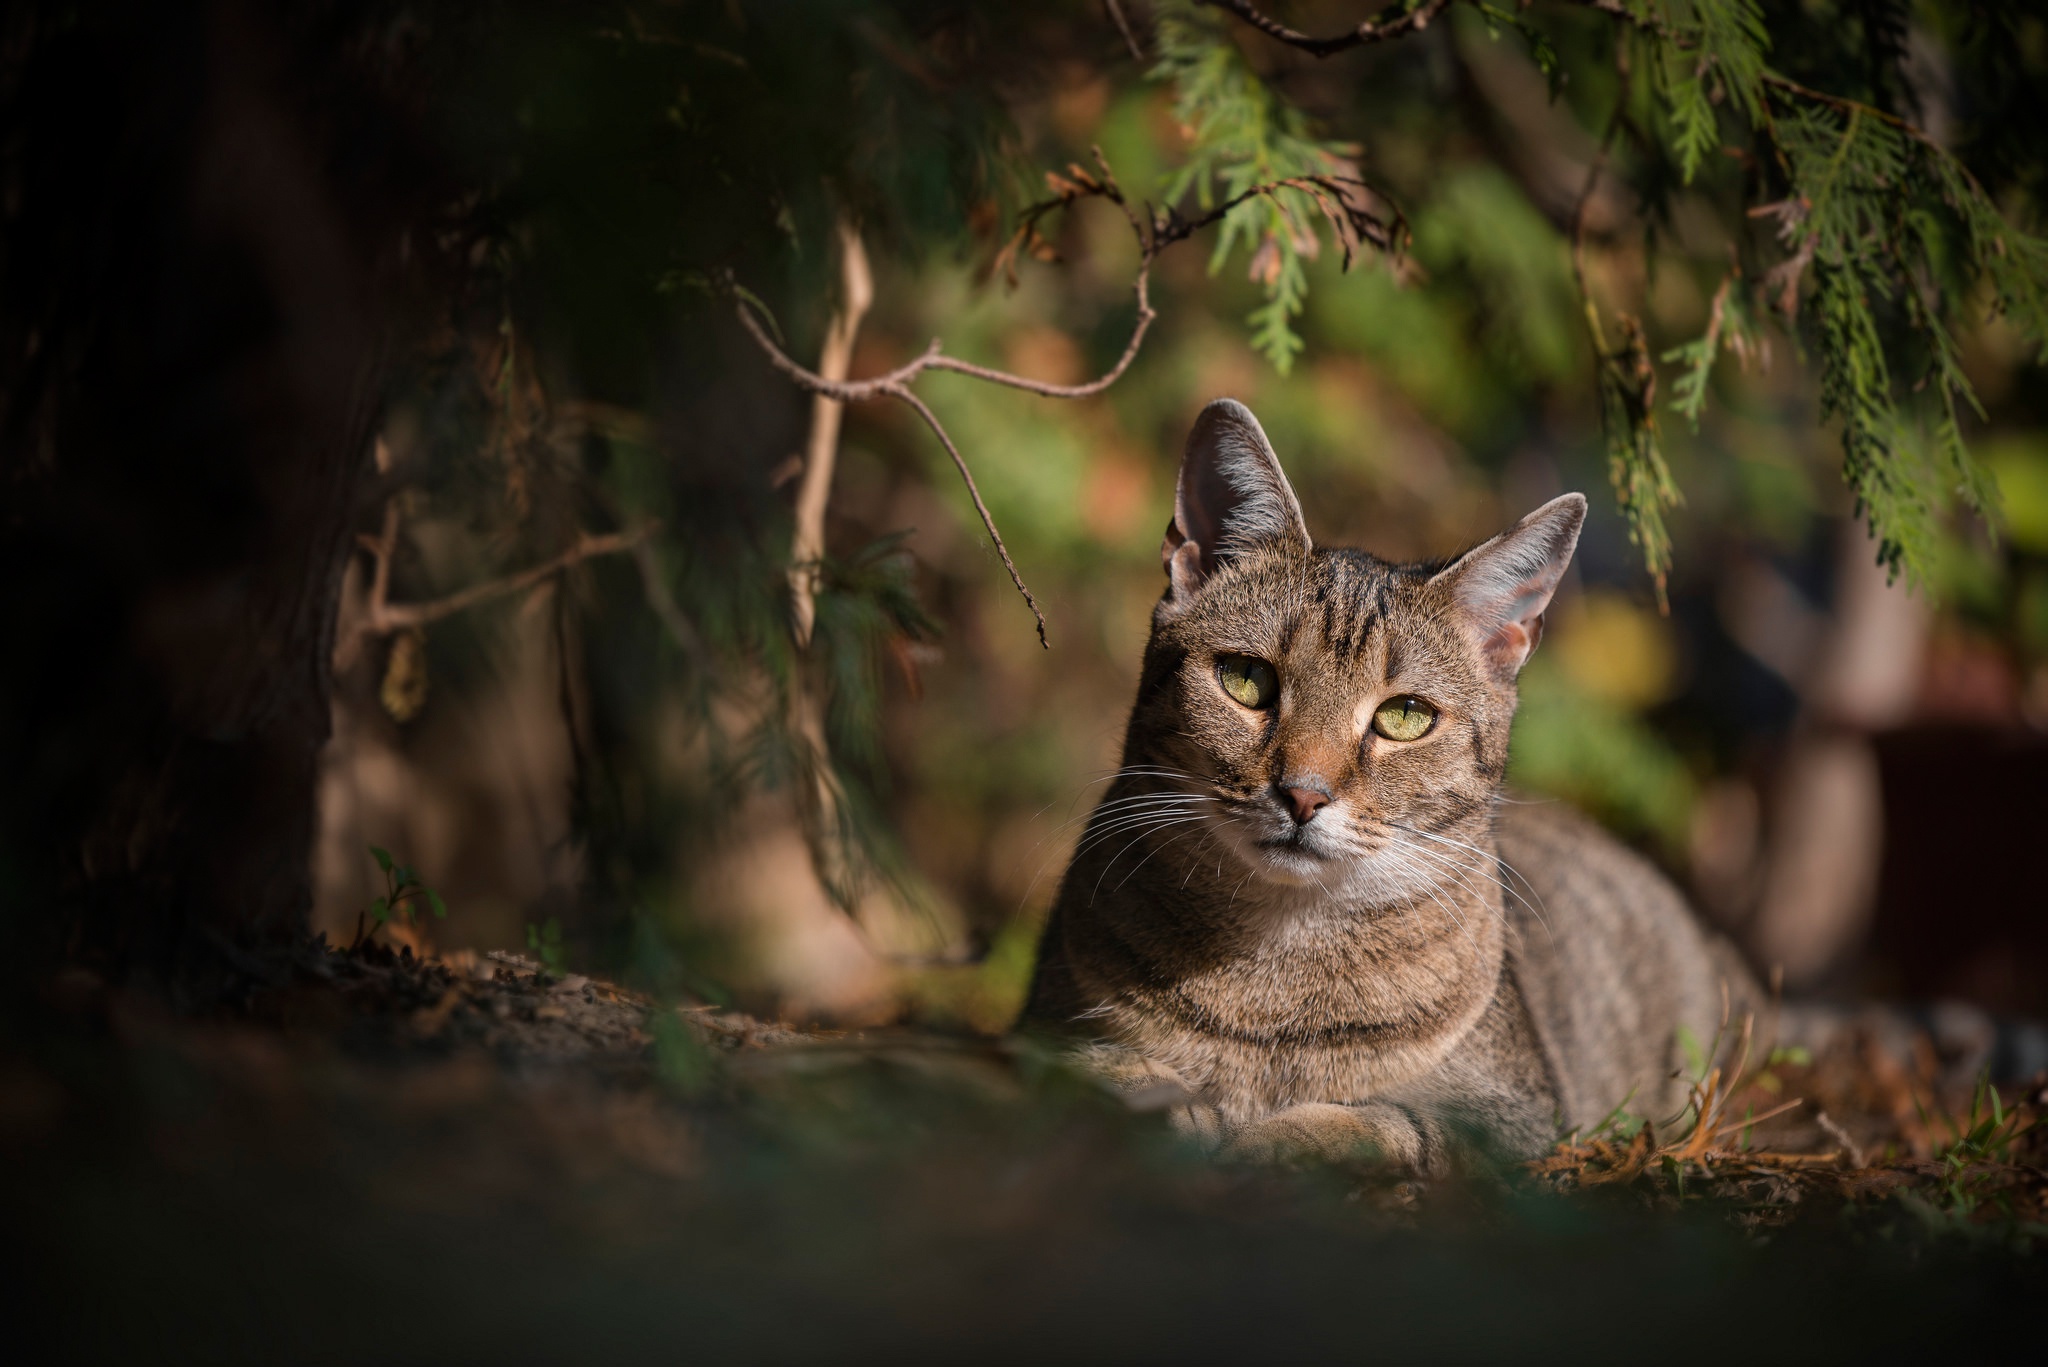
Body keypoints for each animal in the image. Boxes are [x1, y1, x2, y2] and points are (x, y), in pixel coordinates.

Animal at [1024, 401, 1761, 1172]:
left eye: (1404, 716)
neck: (1273, 979)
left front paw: (1275, 1138)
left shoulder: (1517, 1117)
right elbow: (1097, 1067)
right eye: (1246, 679)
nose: (1304, 793)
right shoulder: (1041, 1027)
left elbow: (1393, 1124)